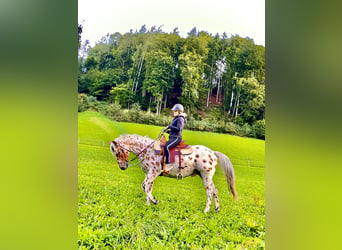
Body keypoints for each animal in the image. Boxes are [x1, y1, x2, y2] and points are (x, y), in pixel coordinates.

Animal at [109, 133, 238, 213]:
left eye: (118, 152)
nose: (122, 167)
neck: (147, 150)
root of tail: (213, 153)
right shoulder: (149, 174)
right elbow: (147, 188)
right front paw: (148, 204)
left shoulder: (153, 173)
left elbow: (145, 187)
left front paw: (154, 201)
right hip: (205, 176)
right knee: (215, 190)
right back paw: (217, 209)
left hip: (206, 176)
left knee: (210, 192)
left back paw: (205, 211)